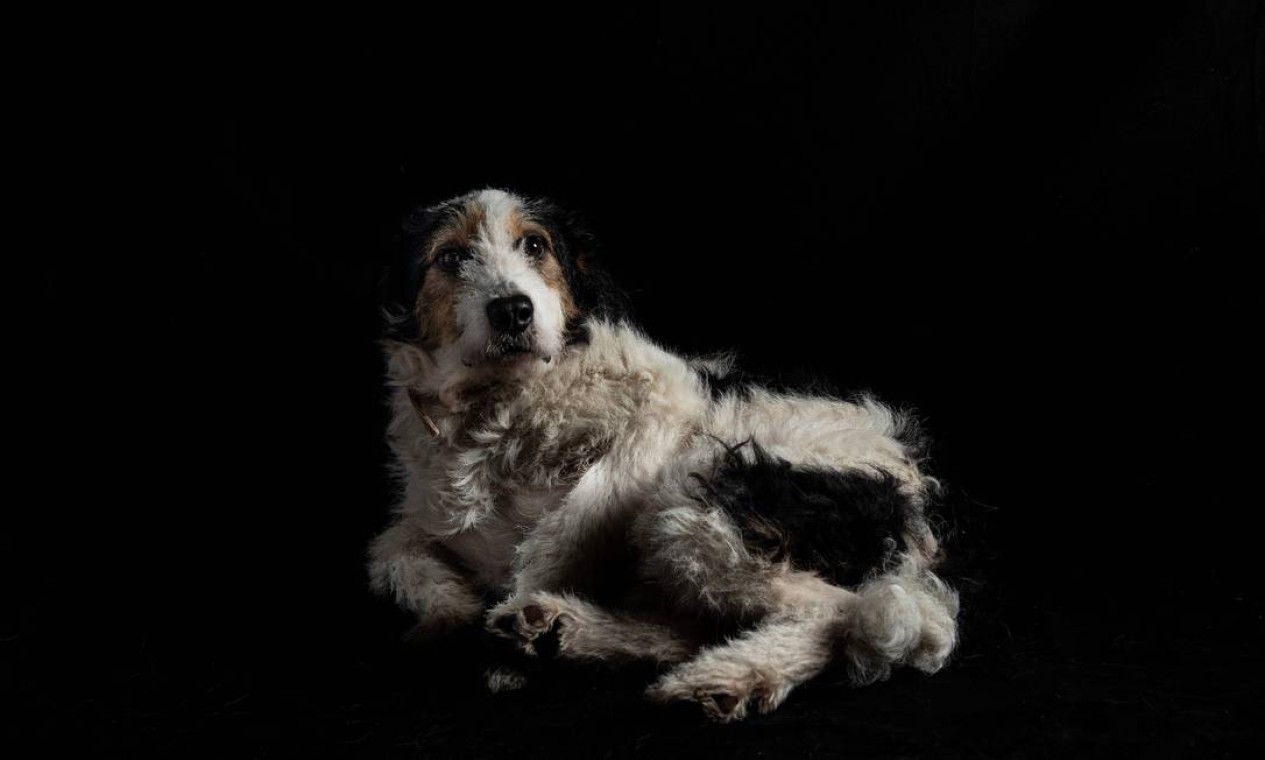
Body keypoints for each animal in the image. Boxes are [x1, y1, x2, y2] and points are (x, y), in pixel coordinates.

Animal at [366, 187, 956, 718]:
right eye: (450, 256)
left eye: (535, 245)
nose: (513, 310)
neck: (503, 410)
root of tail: (912, 509)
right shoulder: (430, 515)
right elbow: (393, 549)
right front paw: (452, 613)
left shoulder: (669, 404)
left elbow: (568, 523)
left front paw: (506, 647)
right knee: (687, 630)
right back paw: (564, 629)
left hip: (691, 501)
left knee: (870, 612)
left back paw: (730, 676)